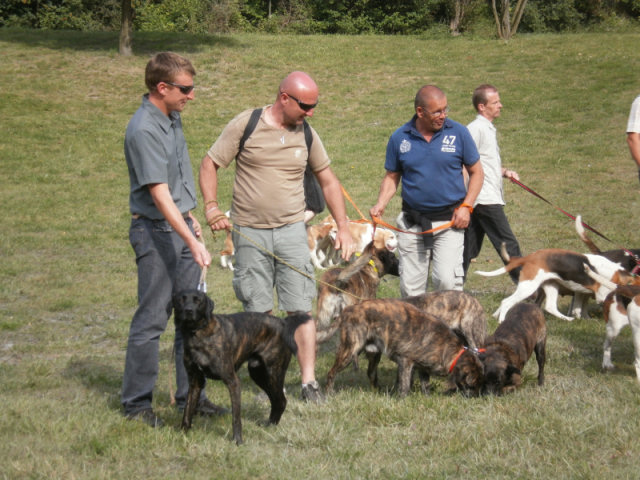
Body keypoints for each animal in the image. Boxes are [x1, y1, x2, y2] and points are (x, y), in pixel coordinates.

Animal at [172, 289, 311, 445]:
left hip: (273, 373)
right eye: (181, 299)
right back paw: (269, 424)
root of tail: (283, 322)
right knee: (276, 401)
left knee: (281, 400)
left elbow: (236, 417)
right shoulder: (195, 382)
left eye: (198, 301)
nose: (188, 310)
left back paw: (271, 425)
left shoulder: (233, 382)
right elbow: (187, 411)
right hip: (258, 374)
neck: (197, 335)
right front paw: (183, 433)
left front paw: (237, 440)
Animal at [323, 299, 485, 397]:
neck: (448, 349)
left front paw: (426, 397)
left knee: (371, 374)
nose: (477, 397)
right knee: (331, 373)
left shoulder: (423, 368)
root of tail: (347, 310)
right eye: (472, 384)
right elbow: (405, 386)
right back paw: (329, 393)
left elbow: (425, 385)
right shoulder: (405, 362)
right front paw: (403, 399)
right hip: (349, 351)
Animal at [475, 248, 636, 322]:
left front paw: (581, 317)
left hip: (551, 286)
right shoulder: (601, 295)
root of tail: (531, 256)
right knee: (506, 301)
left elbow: (579, 308)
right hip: (529, 287)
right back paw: (501, 319)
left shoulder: (581, 292)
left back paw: (567, 319)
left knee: (550, 307)